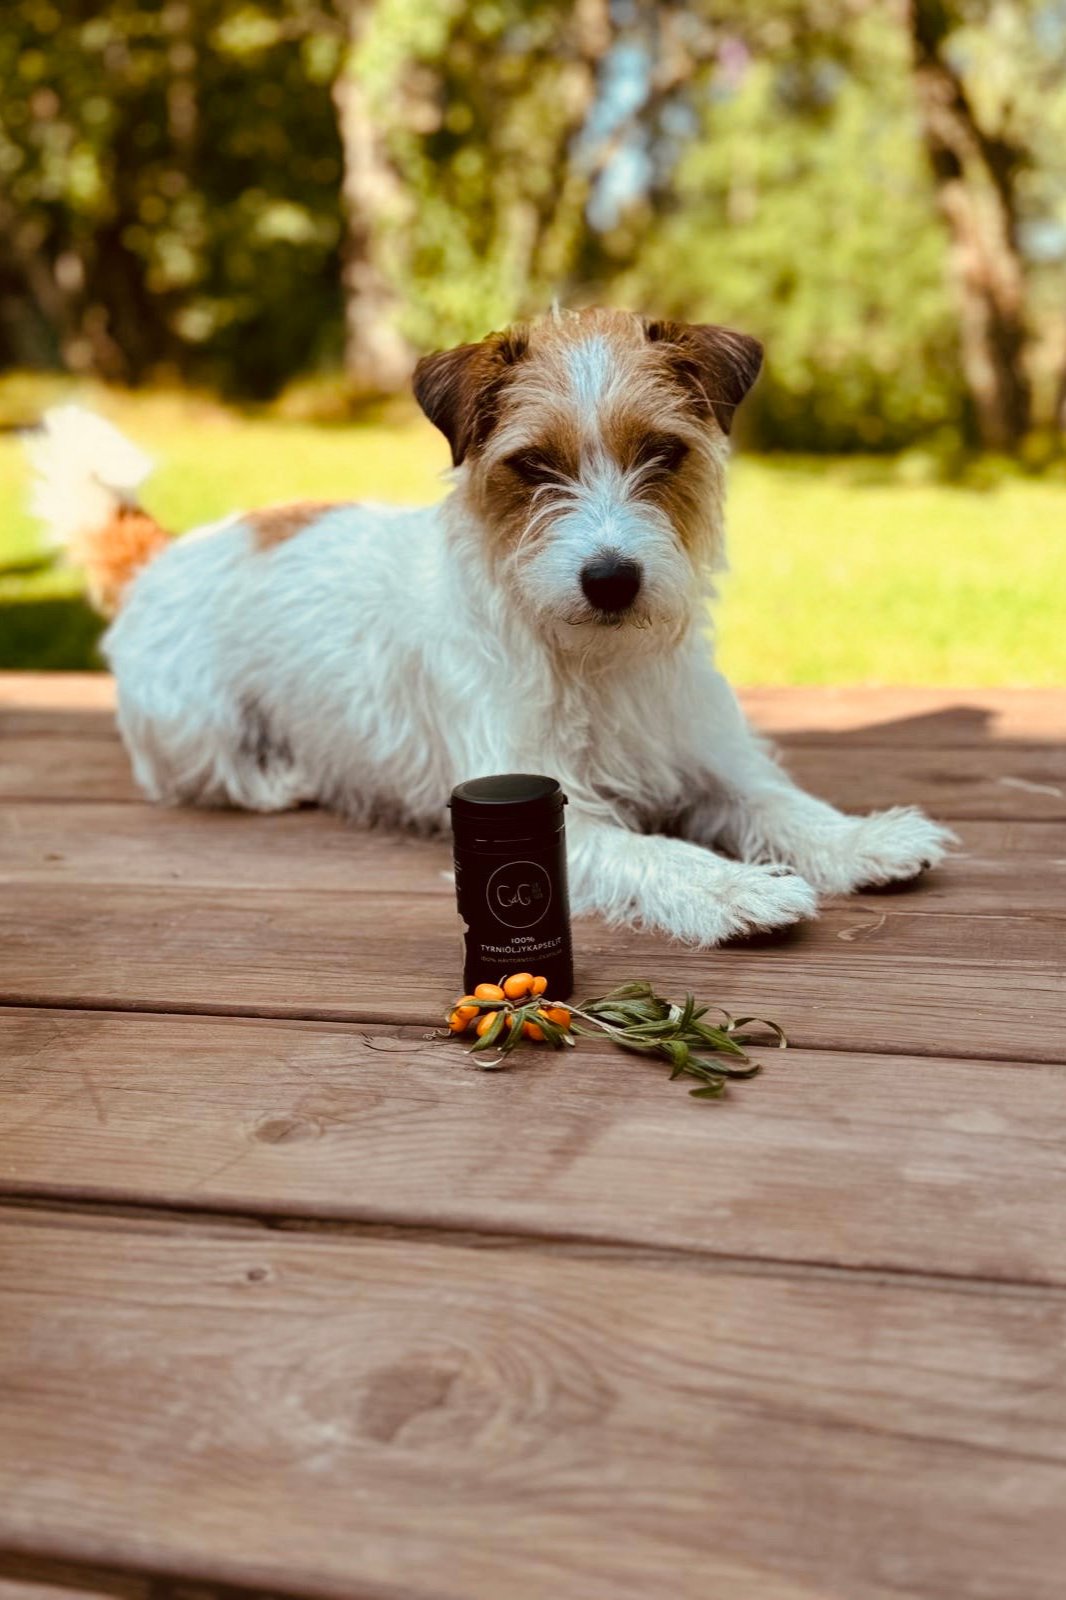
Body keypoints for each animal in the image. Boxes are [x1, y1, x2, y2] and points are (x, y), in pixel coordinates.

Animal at [27, 305, 953, 940]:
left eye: (664, 453)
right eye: (534, 465)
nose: (611, 579)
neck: (594, 660)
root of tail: (163, 550)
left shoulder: (713, 760)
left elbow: (783, 804)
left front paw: (861, 840)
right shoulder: (557, 813)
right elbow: (655, 850)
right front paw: (733, 887)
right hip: (193, 730)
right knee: (192, 776)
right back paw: (281, 777)